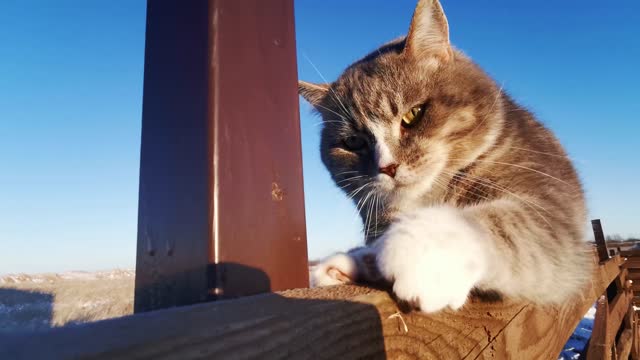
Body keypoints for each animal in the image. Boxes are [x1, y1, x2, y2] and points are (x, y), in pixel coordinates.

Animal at [298, 0, 592, 312]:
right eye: (353, 142)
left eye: (413, 114)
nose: (387, 166)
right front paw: (345, 264)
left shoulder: (552, 210)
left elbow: (510, 224)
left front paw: (420, 256)